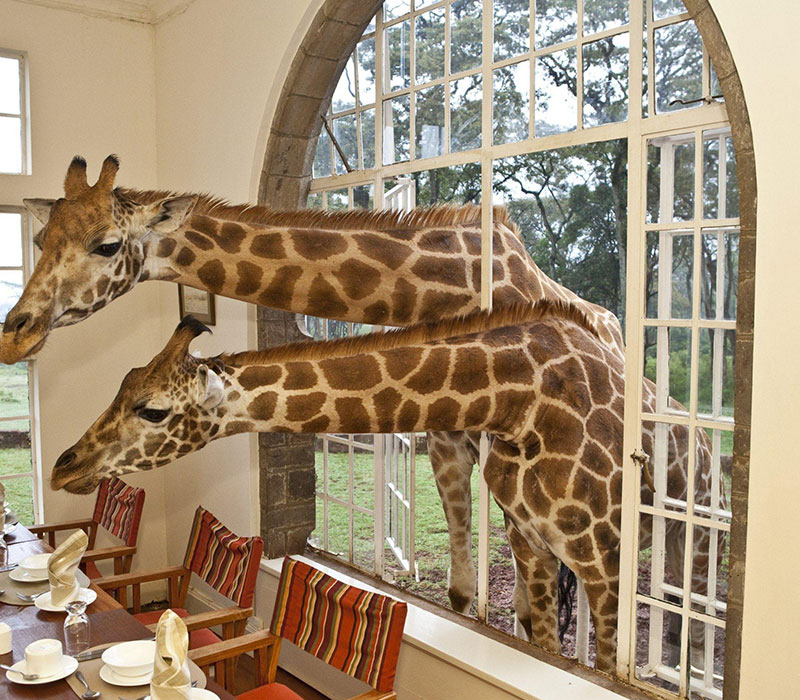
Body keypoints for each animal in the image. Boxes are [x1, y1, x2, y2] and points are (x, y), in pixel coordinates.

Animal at [47, 305, 718, 676]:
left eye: (153, 409)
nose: (62, 466)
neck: (518, 401)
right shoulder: (532, 544)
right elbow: (550, 646)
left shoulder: (604, 556)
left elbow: (600, 662)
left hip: (691, 532)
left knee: (689, 610)